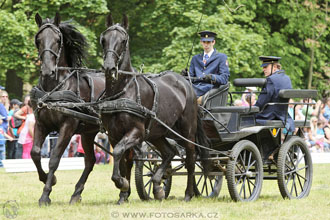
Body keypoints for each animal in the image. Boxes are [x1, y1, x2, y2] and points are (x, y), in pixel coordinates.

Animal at [31, 12, 104, 206]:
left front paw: (45, 195)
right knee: (90, 161)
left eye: (58, 40)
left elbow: (54, 159)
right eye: (38, 40)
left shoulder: (68, 127)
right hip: (88, 132)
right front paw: (47, 179)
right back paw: (76, 193)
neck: (54, 87)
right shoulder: (41, 124)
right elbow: (35, 153)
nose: (47, 70)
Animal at [100, 13, 209, 203]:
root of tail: (186, 83)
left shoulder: (136, 131)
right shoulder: (113, 135)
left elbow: (120, 152)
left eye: (123, 40)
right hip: (160, 133)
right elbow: (121, 159)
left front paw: (122, 183)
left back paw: (188, 193)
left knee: (190, 159)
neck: (123, 90)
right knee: (169, 152)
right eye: (104, 39)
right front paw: (123, 193)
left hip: (187, 132)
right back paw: (158, 185)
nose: (109, 68)